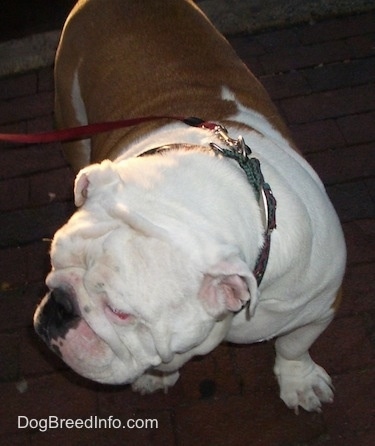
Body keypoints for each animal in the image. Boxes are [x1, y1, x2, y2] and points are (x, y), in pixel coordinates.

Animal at [34, 0, 346, 412]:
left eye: (120, 313)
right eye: (54, 262)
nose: (60, 305)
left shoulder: (319, 304)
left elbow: (295, 344)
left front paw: (300, 382)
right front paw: (156, 376)